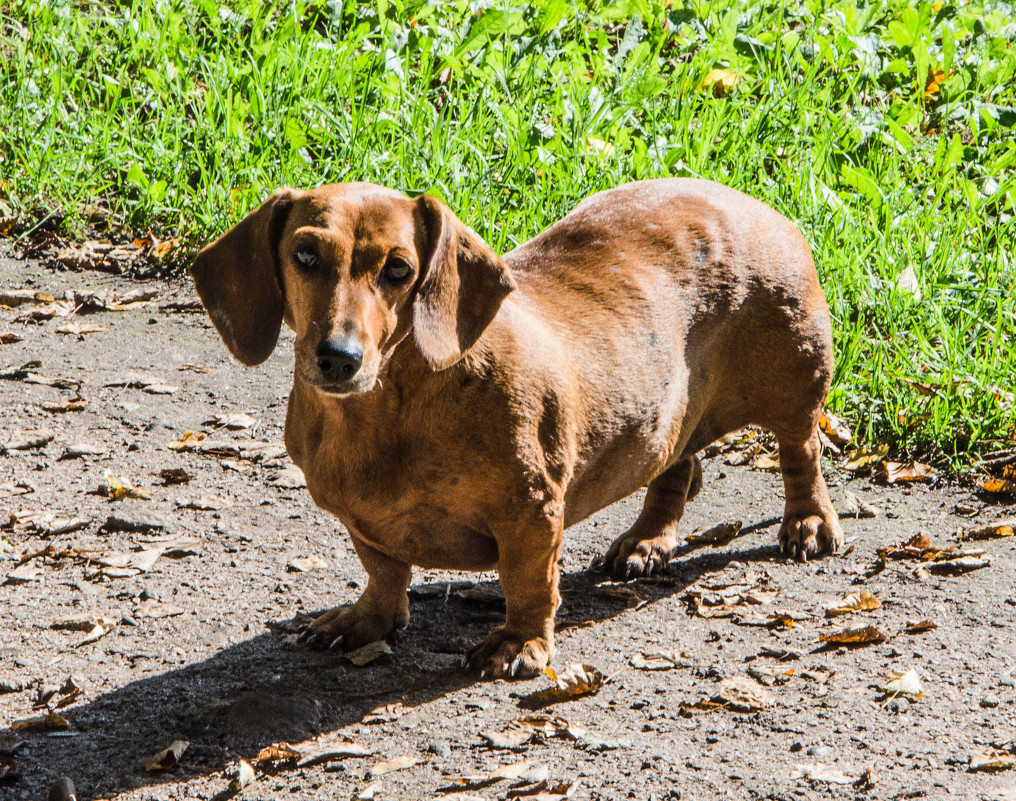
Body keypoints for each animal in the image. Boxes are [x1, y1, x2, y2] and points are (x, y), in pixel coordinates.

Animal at [192, 179, 841, 674]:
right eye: (305, 256)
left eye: (399, 269)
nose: (338, 358)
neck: (389, 409)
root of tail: (752, 200)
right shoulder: (361, 522)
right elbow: (383, 570)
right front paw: (367, 619)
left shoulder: (532, 511)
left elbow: (528, 583)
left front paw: (519, 644)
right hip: (666, 414)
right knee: (673, 467)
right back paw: (647, 541)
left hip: (794, 382)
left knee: (801, 454)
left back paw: (808, 524)